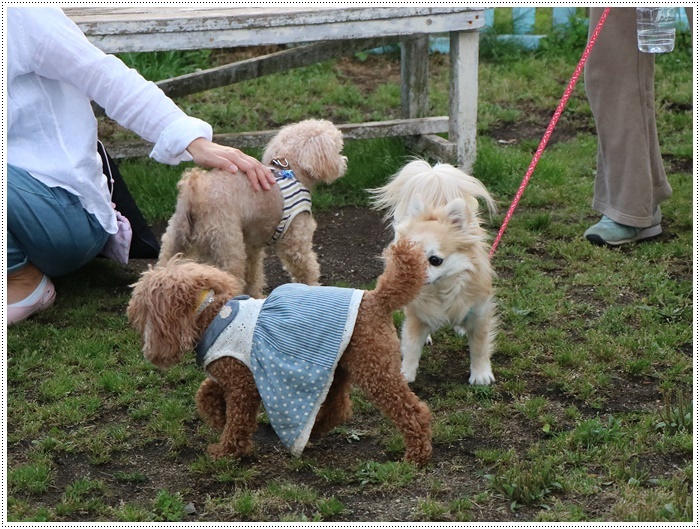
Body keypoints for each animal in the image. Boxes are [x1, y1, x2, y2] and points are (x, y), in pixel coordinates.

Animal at [126, 239, 432, 466]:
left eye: (141, 306)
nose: (130, 314)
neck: (209, 315)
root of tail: (377, 299)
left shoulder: (241, 384)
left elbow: (237, 419)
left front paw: (227, 451)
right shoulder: (230, 374)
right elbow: (204, 394)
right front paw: (218, 418)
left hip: (375, 368)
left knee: (413, 411)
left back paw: (416, 455)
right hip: (339, 367)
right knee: (339, 409)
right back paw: (314, 432)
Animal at [156, 118, 348, 296]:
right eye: (338, 149)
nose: (344, 162)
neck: (290, 169)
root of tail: (195, 194)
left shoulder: (251, 245)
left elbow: (253, 273)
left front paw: (255, 295)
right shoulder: (295, 241)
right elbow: (307, 269)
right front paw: (312, 288)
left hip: (174, 241)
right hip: (227, 246)